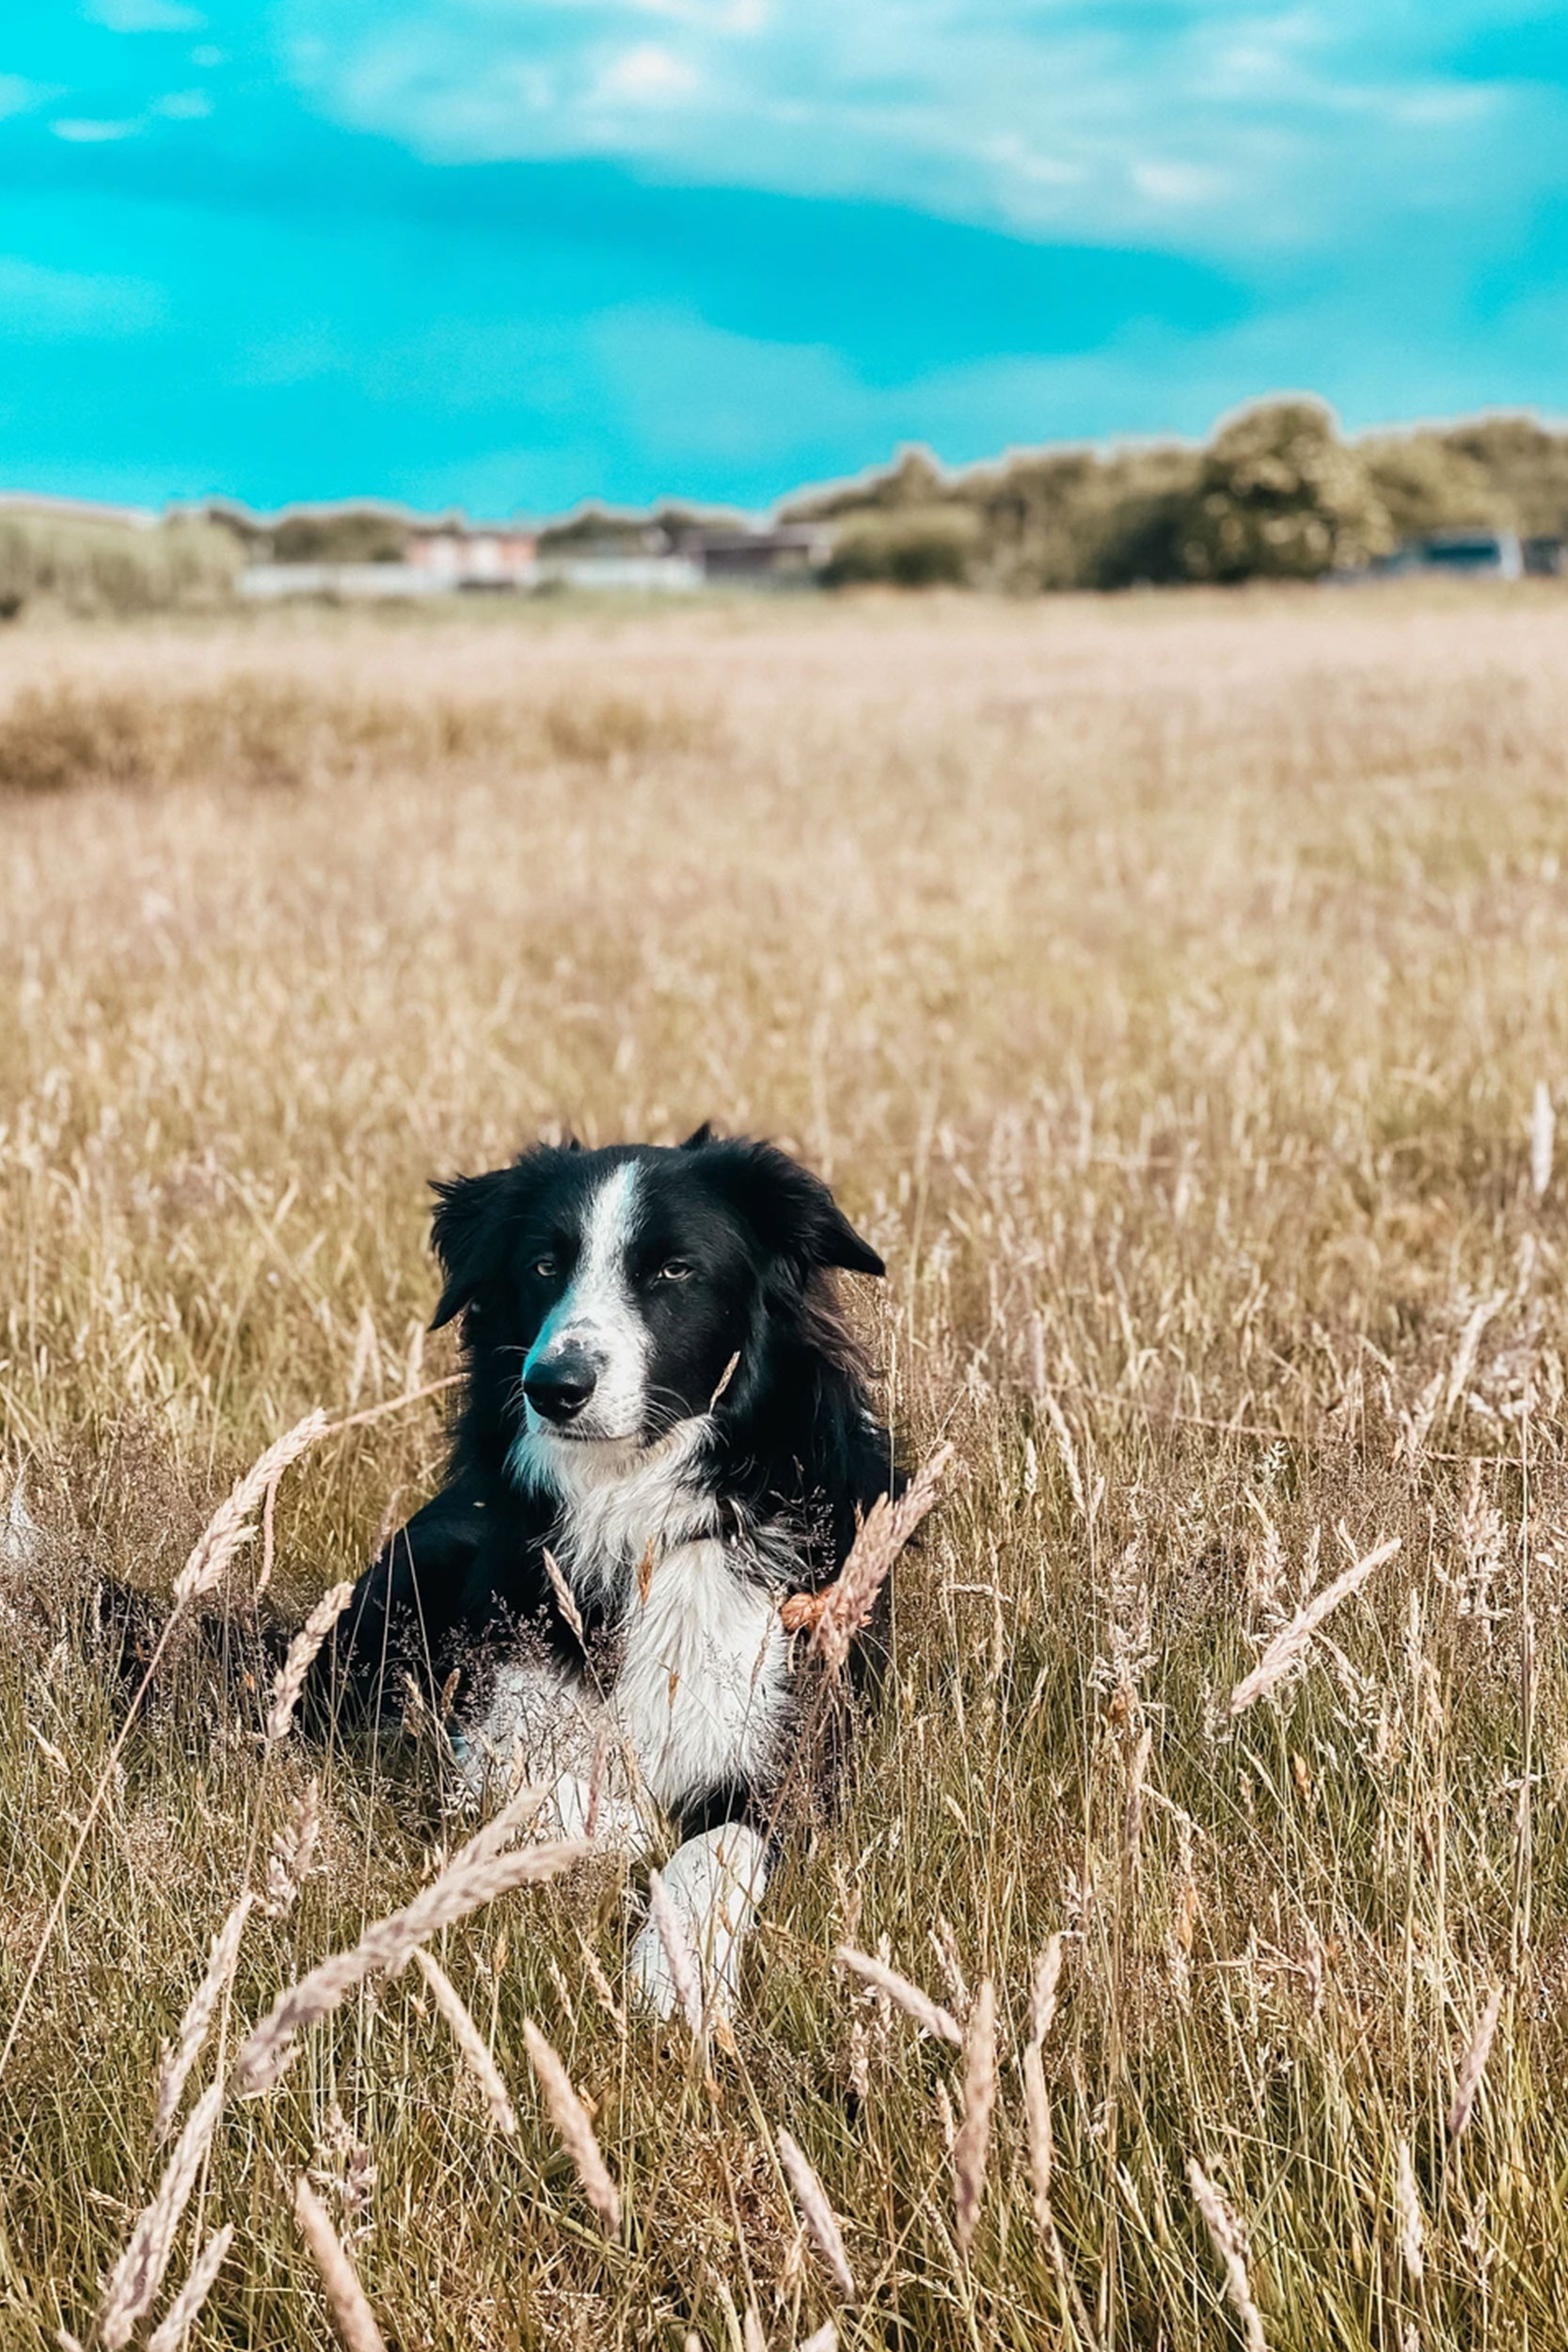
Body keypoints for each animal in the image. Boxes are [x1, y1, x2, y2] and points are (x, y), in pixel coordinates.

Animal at [314, 1129, 902, 2013]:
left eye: (673, 1270)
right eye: (542, 1265)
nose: (553, 1387)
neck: (635, 1513)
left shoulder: (789, 1759)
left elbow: (709, 1851)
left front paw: (675, 1976)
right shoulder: (484, 1726)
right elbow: (534, 1796)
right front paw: (625, 1833)